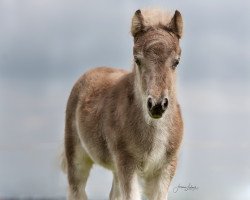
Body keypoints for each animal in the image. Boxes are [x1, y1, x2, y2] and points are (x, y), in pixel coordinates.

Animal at [62, 8, 184, 200]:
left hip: (115, 169)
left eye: (176, 61)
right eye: (137, 60)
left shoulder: (166, 168)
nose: (157, 105)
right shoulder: (127, 164)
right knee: (77, 190)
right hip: (77, 158)